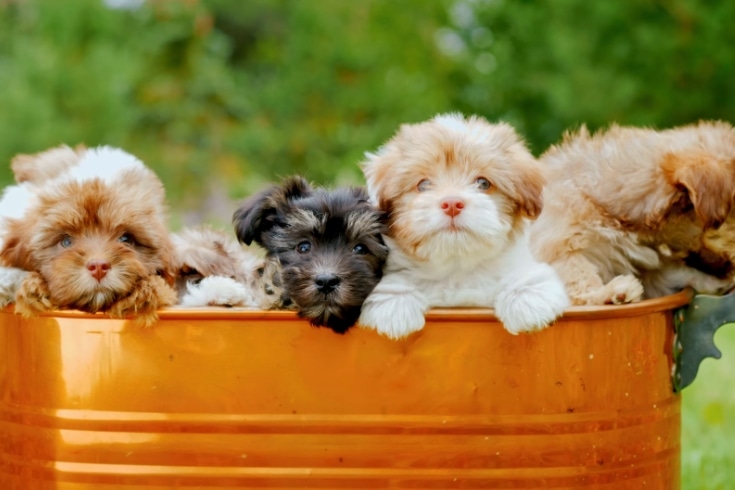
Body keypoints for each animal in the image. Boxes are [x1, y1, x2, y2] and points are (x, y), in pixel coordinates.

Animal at [360, 113, 572, 338]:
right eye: (423, 185)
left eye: (483, 183)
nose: (452, 203)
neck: (457, 268)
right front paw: (396, 303)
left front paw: (526, 296)